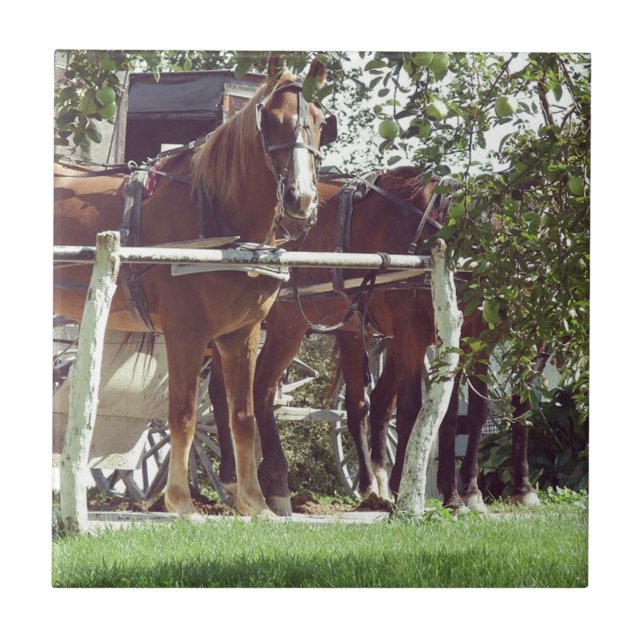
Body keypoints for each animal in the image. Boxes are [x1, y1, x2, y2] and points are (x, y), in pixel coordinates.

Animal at [53, 58, 334, 518]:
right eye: (271, 120)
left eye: (320, 122)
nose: (302, 200)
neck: (219, 218)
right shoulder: (185, 333)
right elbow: (183, 415)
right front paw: (181, 503)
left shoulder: (241, 335)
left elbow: (242, 415)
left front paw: (255, 502)